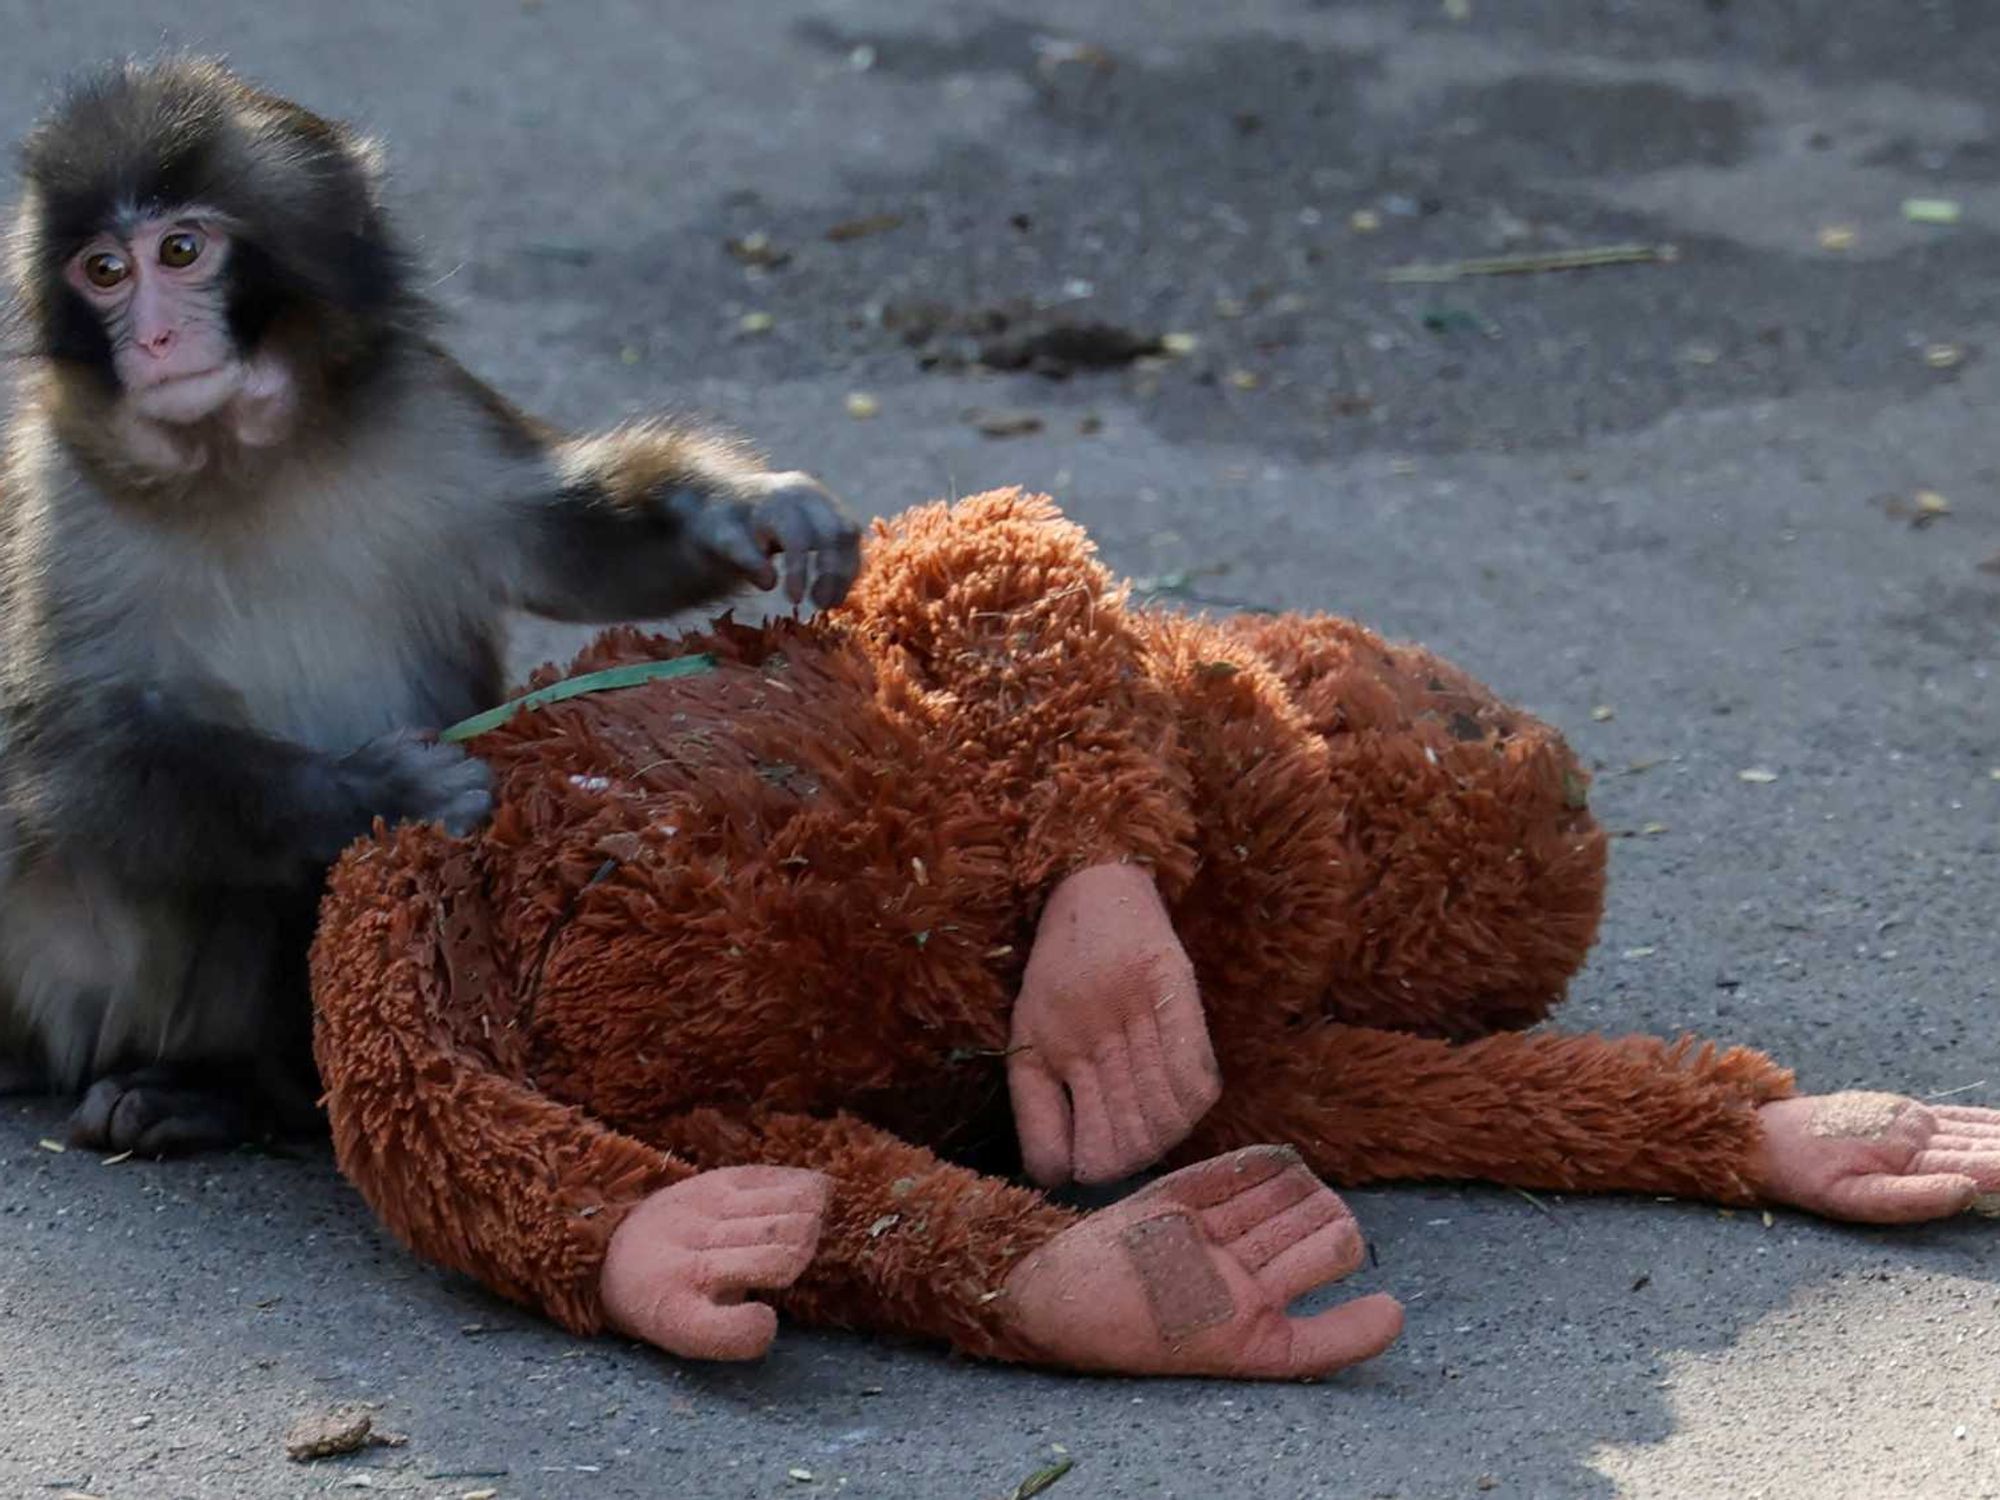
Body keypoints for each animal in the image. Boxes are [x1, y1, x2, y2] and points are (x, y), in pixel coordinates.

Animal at [0, 56, 861, 1155]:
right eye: (102, 271)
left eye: (180, 251)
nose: (152, 336)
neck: (239, 459)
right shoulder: (56, 495)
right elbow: (63, 755)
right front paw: (382, 791)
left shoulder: (424, 408)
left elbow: (567, 547)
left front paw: (744, 507)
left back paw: (226, 1090)